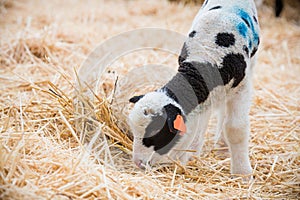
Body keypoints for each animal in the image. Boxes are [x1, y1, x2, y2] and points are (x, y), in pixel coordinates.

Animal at [129, 0, 260, 176]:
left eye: (155, 134)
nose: (138, 163)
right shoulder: (202, 93)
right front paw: (189, 156)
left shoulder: (242, 87)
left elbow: (235, 129)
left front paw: (242, 173)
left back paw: (223, 147)